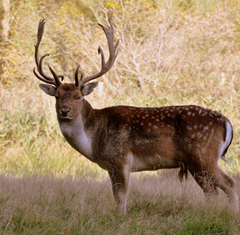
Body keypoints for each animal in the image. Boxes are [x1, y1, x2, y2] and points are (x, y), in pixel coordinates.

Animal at [33, 19, 238, 213]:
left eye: (78, 96)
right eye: (57, 96)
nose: (64, 110)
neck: (94, 140)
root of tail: (227, 123)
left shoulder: (121, 159)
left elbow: (121, 196)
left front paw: (120, 217)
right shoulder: (111, 166)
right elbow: (117, 195)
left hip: (203, 155)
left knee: (229, 183)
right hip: (196, 162)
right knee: (211, 191)